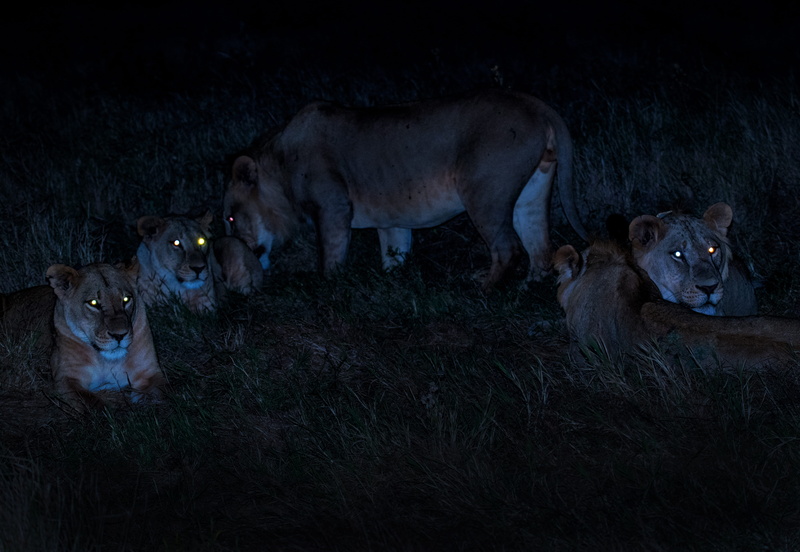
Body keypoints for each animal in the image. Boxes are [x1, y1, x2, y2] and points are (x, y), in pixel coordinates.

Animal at [0, 260, 165, 410]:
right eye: (93, 303)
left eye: (126, 299)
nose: (119, 335)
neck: (107, 360)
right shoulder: (66, 379)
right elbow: (92, 403)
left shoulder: (150, 373)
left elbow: (159, 393)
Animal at [223, 88, 588, 288]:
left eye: (230, 218)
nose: (237, 252)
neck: (281, 163)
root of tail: (536, 104)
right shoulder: (391, 221)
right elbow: (393, 253)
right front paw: (391, 281)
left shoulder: (333, 207)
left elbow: (331, 255)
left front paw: (329, 287)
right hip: (532, 191)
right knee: (539, 248)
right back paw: (525, 290)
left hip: (483, 192)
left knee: (508, 248)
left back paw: (483, 290)